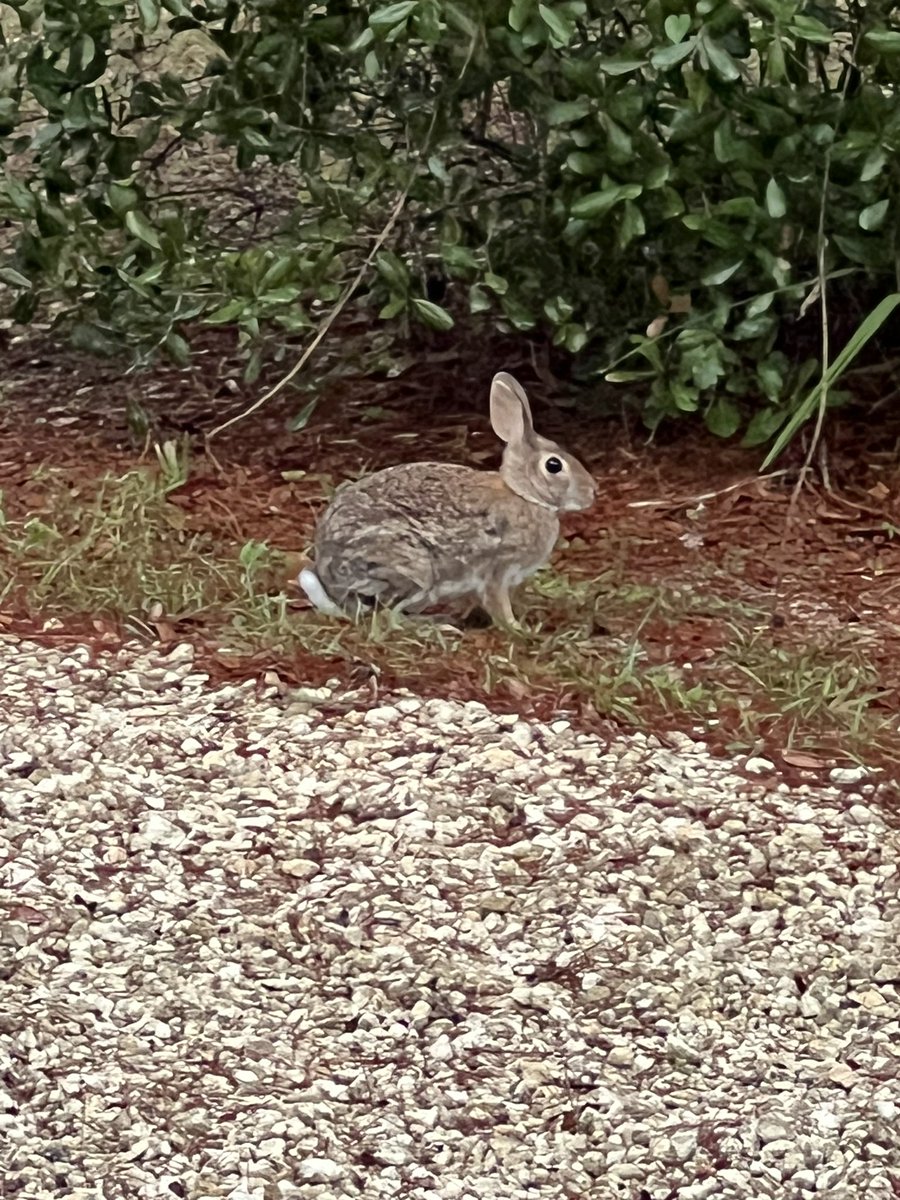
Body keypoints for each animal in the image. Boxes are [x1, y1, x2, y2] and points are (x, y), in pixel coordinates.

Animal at [297, 371, 596, 627]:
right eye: (554, 465)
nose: (592, 492)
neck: (524, 494)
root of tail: (332, 582)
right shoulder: (498, 568)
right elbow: (498, 603)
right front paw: (516, 629)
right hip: (413, 569)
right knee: (387, 616)